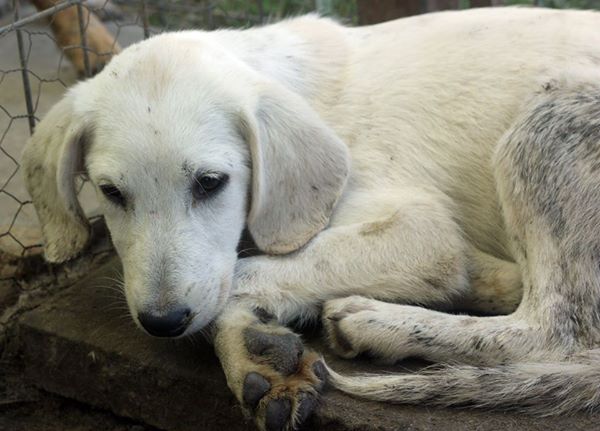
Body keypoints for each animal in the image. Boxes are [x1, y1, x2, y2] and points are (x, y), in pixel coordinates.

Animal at [21, 7, 600, 431]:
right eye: (110, 192)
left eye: (210, 183)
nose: (162, 322)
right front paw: (254, 354)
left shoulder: (422, 232)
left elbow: (245, 276)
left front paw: (241, 338)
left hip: (548, 121)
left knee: (557, 326)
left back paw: (377, 322)